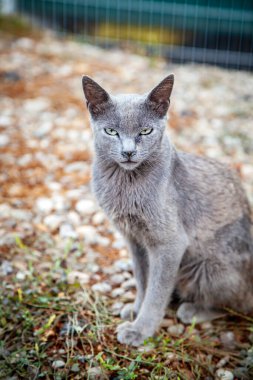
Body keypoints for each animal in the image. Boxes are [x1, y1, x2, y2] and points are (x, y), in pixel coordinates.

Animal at [81, 75, 253, 348]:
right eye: (111, 131)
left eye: (145, 131)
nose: (128, 151)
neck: (126, 184)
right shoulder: (134, 240)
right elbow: (143, 280)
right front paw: (136, 309)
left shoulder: (169, 243)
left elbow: (156, 290)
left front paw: (140, 329)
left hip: (206, 268)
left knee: (237, 304)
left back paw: (192, 310)